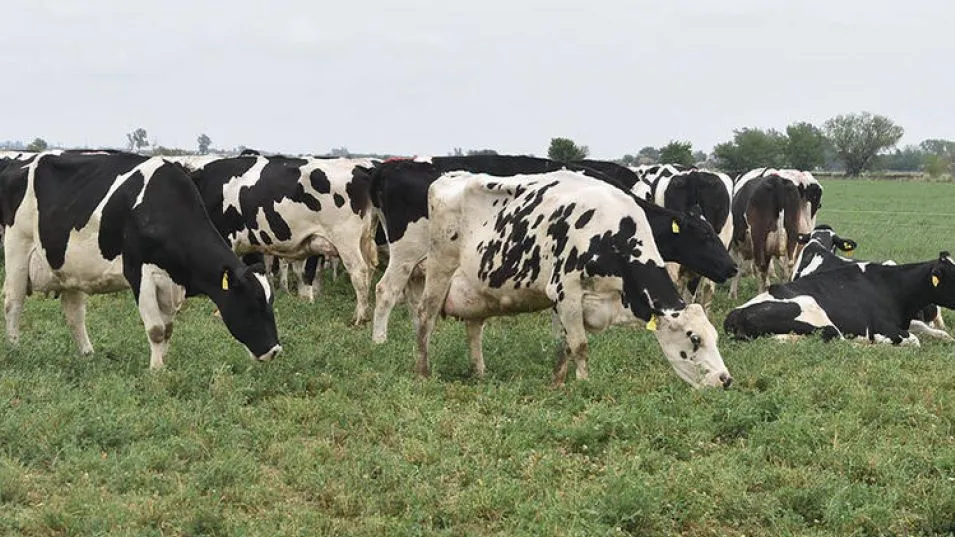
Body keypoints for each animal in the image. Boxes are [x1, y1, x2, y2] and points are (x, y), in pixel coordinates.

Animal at [1, 151, 282, 368]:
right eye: (252, 302)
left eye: (270, 302)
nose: (275, 351)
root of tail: (20, 163)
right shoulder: (140, 273)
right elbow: (156, 330)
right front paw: (156, 372)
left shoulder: (170, 282)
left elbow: (167, 329)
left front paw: (163, 365)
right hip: (17, 248)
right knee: (13, 301)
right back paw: (15, 349)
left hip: (69, 267)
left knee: (74, 313)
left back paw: (87, 354)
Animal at [189, 155, 380, 322]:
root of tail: (362, 169)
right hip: (365, 238)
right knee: (370, 268)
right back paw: (363, 312)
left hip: (346, 240)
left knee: (359, 271)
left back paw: (359, 318)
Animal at [370, 155, 736, 344]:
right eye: (703, 236)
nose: (731, 267)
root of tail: (390, 167)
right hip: (407, 251)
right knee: (385, 289)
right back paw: (380, 340)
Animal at [414, 170, 736, 388]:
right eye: (694, 338)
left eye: (715, 336)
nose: (725, 379)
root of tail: (450, 176)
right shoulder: (565, 292)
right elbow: (579, 345)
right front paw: (583, 384)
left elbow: (568, 346)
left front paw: (557, 382)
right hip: (439, 268)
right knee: (425, 316)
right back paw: (424, 372)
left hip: (476, 289)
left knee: (474, 328)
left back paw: (479, 372)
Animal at [724, 250, 955, 346]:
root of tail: (735, 314)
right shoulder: (884, 327)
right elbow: (915, 340)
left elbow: (934, 331)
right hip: (821, 319)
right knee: (838, 340)